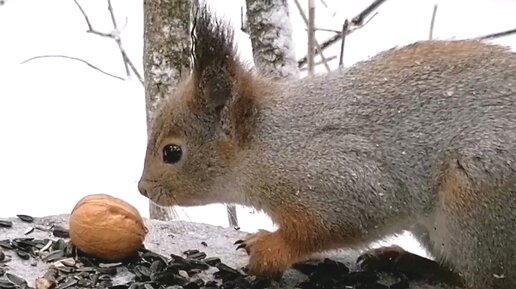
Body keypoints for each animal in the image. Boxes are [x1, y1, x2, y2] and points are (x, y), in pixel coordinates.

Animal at [138, 4, 516, 288]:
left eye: (172, 152)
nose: (143, 189)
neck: (267, 145)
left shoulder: (337, 179)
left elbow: (331, 226)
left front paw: (268, 249)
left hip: (475, 203)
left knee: (477, 279)